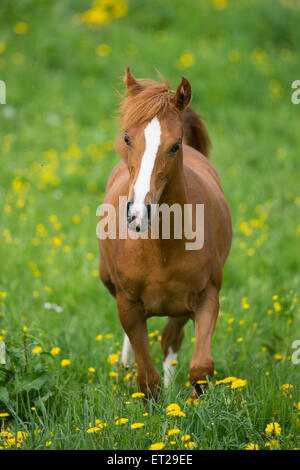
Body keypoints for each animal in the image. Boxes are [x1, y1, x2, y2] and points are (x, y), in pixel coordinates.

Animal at [98, 68, 232, 398]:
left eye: (175, 145)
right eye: (127, 138)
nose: (137, 214)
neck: (160, 248)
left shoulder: (205, 298)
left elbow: (200, 367)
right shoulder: (128, 306)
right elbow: (147, 377)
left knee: (170, 340)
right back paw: (125, 364)